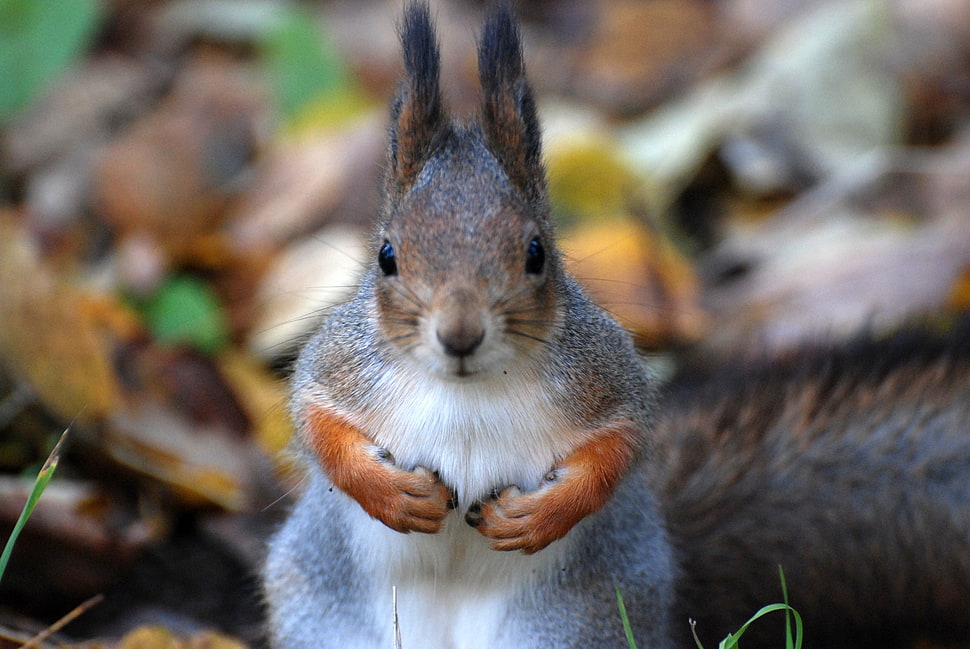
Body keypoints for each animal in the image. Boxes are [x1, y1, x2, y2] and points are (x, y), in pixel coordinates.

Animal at [263, 3, 970, 649]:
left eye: (536, 252)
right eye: (387, 255)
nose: (460, 335)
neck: (468, 389)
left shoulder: (601, 373)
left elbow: (621, 444)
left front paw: (541, 517)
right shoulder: (345, 363)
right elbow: (315, 419)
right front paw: (388, 494)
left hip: (572, 629)